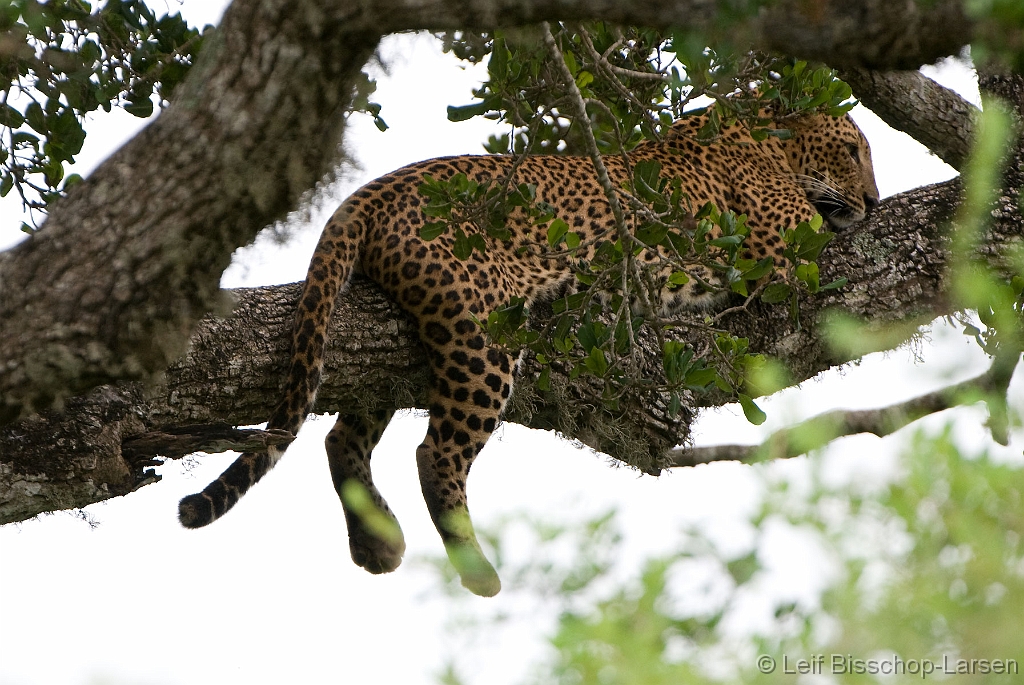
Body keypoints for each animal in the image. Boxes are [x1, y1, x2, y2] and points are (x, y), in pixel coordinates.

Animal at [178, 105, 880, 593]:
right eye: (851, 151)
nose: (874, 204)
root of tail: (368, 194)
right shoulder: (789, 246)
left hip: (387, 353)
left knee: (341, 436)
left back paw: (377, 544)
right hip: (481, 330)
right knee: (434, 454)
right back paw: (476, 569)